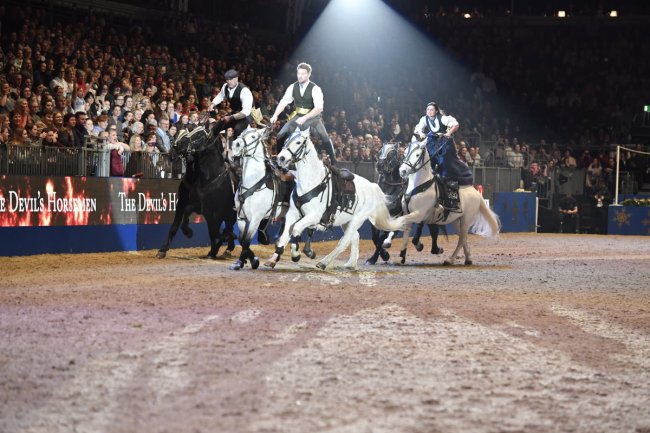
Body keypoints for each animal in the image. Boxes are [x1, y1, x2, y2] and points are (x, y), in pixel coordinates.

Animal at [156, 124, 237, 259]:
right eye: (178, 133)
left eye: (199, 135)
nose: (173, 152)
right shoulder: (184, 204)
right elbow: (175, 226)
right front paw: (162, 250)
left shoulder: (214, 211)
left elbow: (215, 232)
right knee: (223, 229)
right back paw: (221, 249)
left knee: (225, 230)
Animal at [227, 126, 316, 270]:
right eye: (241, 133)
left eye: (253, 137)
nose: (236, 144)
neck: (253, 182)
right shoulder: (241, 218)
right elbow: (242, 240)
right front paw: (243, 261)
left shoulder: (256, 219)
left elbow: (246, 241)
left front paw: (252, 261)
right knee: (284, 235)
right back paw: (275, 258)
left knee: (307, 230)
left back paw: (306, 252)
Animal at [265, 131, 407, 270]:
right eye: (286, 140)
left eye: (298, 142)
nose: (280, 158)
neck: (311, 182)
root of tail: (372, 186)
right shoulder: (292, 214)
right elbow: (285, 235)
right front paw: (273, 259)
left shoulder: (314, 216)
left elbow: (296, 229)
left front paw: (297, 254)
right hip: (346, 220)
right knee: (355, 237)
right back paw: (351, 263)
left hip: (357, 220)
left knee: (344, 241)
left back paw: (324, 262)